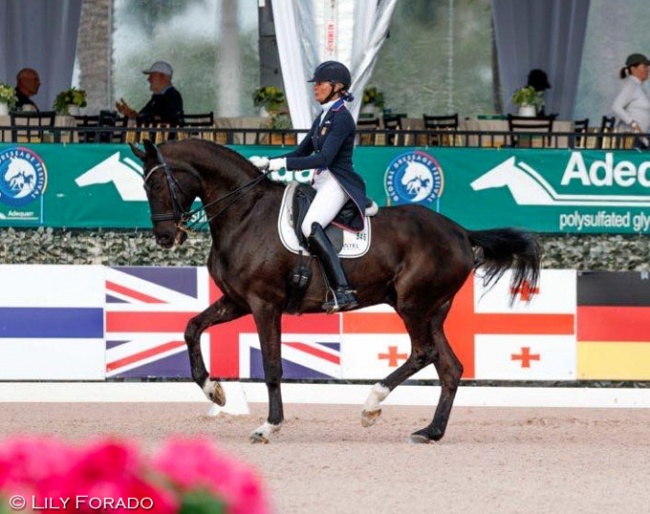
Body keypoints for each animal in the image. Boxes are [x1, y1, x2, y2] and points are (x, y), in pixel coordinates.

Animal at [129, 138, 540, 442]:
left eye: (156, 184)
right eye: (144, 185)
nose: (165, 237)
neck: (244, 213)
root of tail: (459, 231)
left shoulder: (264, 304)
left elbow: (273, 366)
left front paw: (269, 426)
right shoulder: (236, 301)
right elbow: (192, 328)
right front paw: (213, 390)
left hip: (412, 305)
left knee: (423, 354)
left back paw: (372, 406)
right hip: (433, 310)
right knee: (450, 367)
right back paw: (430, 432)